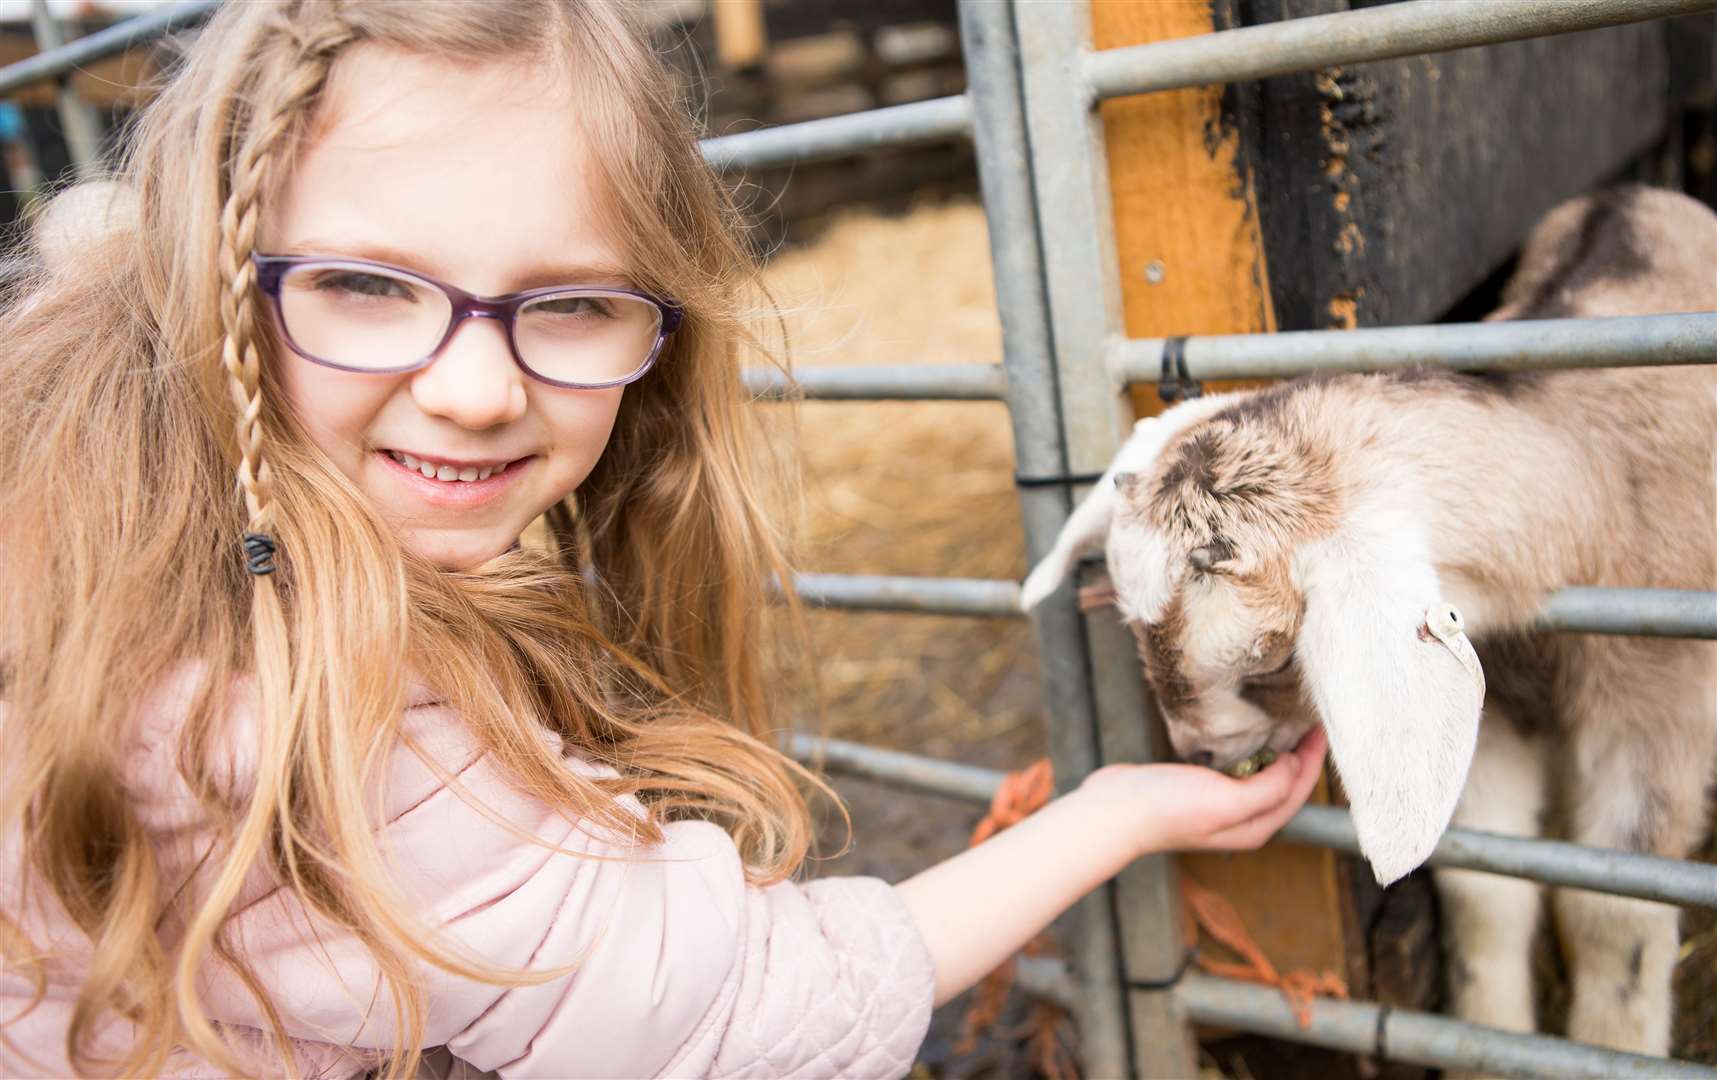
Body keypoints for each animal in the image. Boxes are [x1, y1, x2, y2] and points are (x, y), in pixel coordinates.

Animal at [1023, 185, 1710, 1050]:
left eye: (1269, 661)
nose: (1201, 758)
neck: (1590, 481)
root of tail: (1629, 193)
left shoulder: (1656, 707)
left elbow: (1612, 912)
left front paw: (1608, 1041)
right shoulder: (1494, 712)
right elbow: (1487, 892)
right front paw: (1488, 1035)